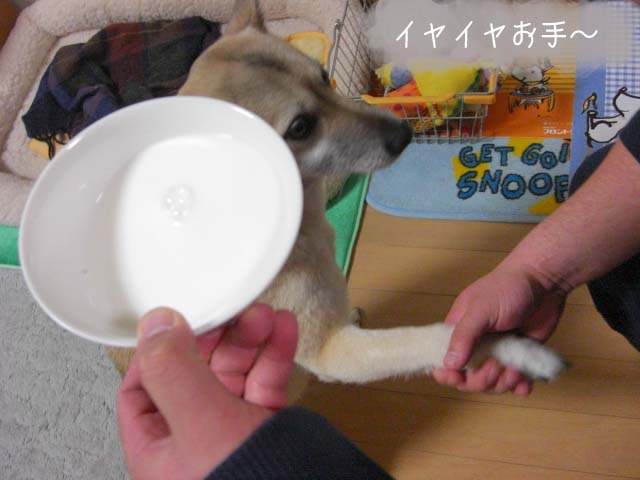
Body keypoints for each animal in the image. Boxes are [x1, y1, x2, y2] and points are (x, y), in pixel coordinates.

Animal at [109, 0, 565, 398]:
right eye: (299, 127)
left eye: (324, 76)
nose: (404, 134)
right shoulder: (331, 350)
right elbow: (435, 339)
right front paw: (516, 351)